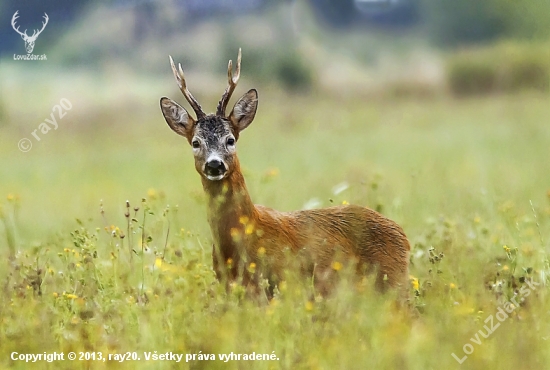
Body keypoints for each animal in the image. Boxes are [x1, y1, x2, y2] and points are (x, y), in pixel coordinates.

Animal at [160, 48, 410, 298]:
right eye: (195, 142)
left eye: (230, 140)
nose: (214, 165)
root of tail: (403, 236)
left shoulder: (282, 282)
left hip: (394, 284)